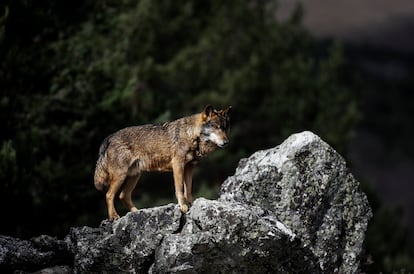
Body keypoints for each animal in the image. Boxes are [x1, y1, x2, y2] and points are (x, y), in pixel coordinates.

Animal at [92, 104, 231, 220]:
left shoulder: (189, 168)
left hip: (134, 176)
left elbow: (189, 191)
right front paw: (183, 207)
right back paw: (114, 217)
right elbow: (180, 190)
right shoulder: (178, 165)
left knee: (123, 195)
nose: (226, 142)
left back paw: (137, 212)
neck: (191, 135)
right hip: (121, 176)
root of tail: (109, 137)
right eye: (217, 128)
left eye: (225, 129)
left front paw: (192, 205)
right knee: (109, 195)